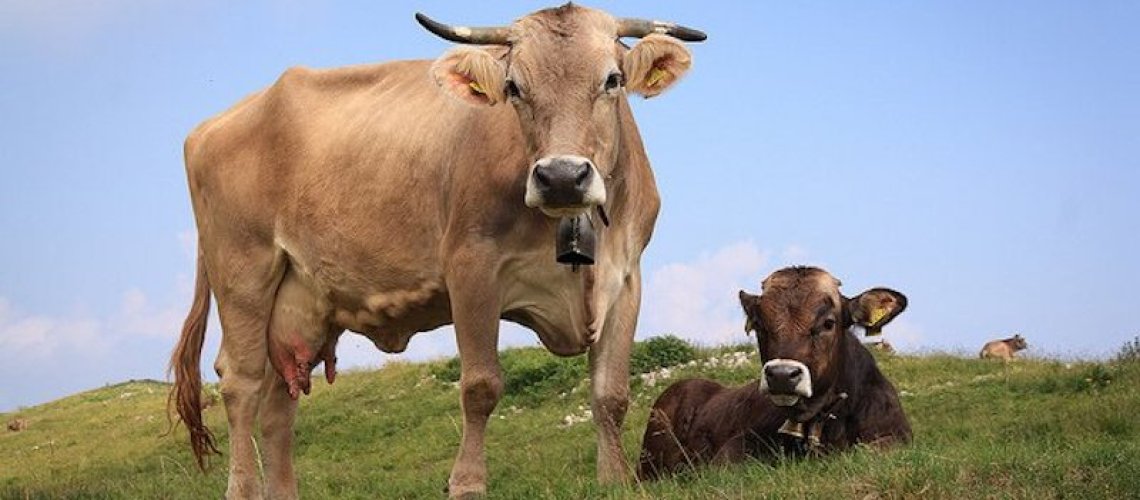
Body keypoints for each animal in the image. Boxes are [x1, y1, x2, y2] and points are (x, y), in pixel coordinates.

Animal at [167, 4, 705, 498]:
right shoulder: (472, 268)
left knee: (280, 403)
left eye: (612, 79)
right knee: (241, 383)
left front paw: (615, 479)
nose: (561, 177)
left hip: (299, 302)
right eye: (513, 87)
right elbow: (481, 386)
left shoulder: (626, 277)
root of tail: (216, 122)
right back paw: (242, 486)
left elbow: (611, 393)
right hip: (243, 272)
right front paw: (467, 483)